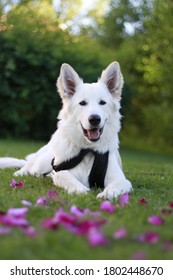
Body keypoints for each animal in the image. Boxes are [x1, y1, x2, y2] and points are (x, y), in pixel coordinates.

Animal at [0, 62, 132, 200]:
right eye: (82, 103)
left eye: (102, 102)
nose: (95, 119)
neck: (88, 150)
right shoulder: (59, 172)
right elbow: (66, 177)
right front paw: (81, 191)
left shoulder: (121, 179)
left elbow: (118, 185)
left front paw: (107, 194)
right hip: (41, 164)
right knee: (29, 167)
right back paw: (21, 173)